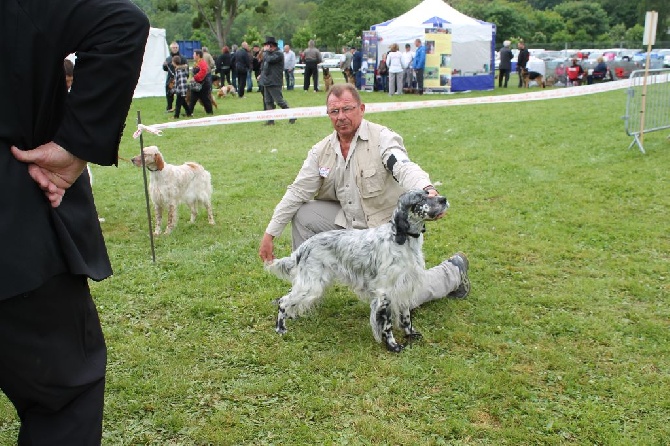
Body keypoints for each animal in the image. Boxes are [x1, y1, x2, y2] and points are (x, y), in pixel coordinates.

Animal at [266, 190, 448, 354]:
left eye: (428, 193)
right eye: (419, 199)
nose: (444, 199)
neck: (402, 241)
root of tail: (303, 247)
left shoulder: (405, 287)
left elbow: (406, 318)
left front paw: (411, 334)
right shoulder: (386, 293)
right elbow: (387, 325)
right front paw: (393, 346)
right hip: (310, 286)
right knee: (283, 301)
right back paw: (280, 329)